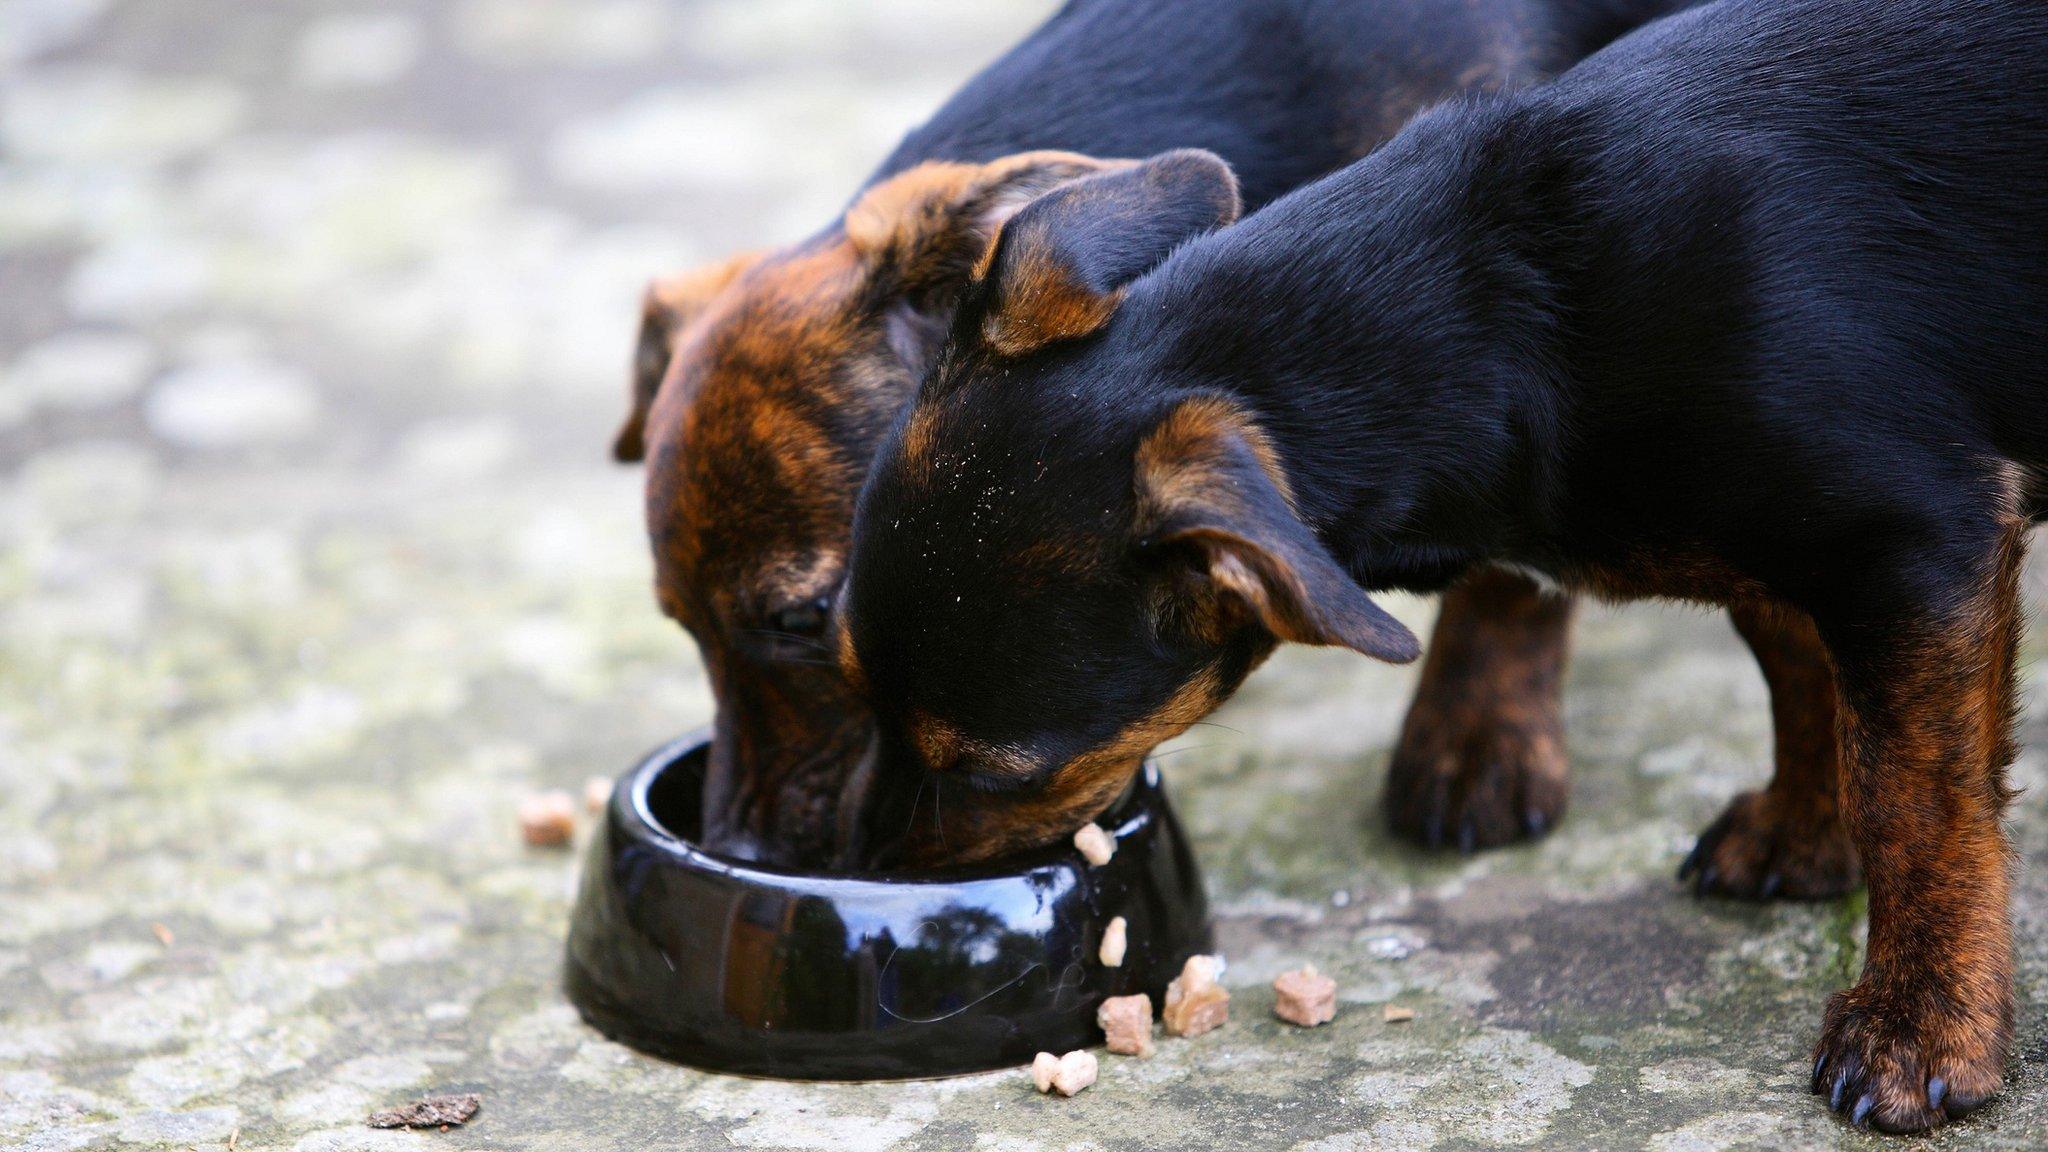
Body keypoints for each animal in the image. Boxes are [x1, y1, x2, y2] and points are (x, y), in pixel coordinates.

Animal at [843, 0, 2048, 1131]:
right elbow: (1799, 666)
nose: (866, 861)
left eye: (996, 773)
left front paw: (1921, 1032)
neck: (1519, 313)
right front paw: (1805, 833)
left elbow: (1911, 796)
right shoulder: (1791, 544)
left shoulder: (1916, 536)